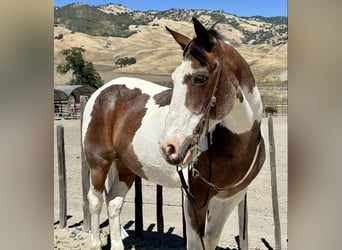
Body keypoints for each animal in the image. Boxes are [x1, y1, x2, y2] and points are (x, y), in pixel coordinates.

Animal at [82, 17, 264, 250]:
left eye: (200, 78)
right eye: (174, 78)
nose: (168, 147)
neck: (233, 146)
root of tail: (103, 90)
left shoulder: (229, 199)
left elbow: (211, 240)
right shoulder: (195, 200)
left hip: (125, 166)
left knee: (114, 203)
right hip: (99, 162)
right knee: (95, 201)